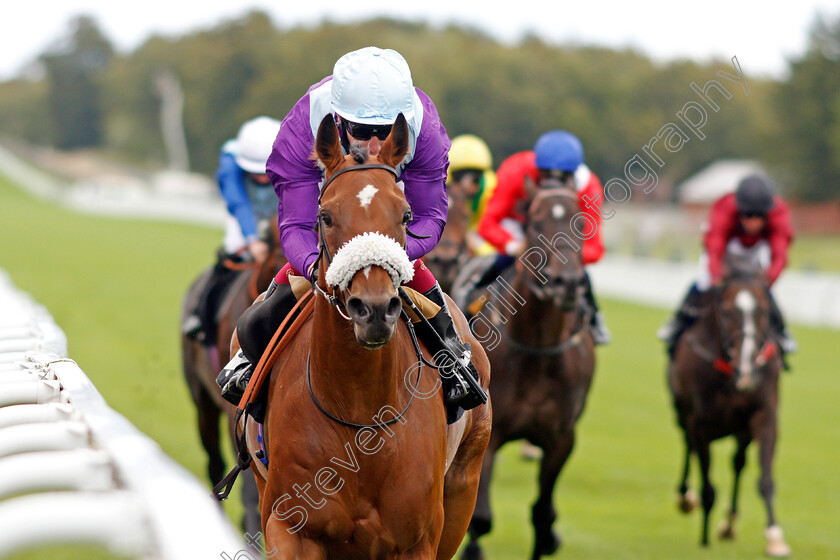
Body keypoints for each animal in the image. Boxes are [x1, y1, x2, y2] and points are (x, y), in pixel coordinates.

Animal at [460, 180, 596, 560]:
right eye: (535, 223)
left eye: (582, 223)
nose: (568, 283)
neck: (537, 348)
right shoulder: (490, 434)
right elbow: (481, 519)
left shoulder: (561, 438)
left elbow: (541, 514)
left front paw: (550, 537)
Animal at [668, 258, 792, 556]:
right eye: (725, 312)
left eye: (764, 312)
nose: (746, 364)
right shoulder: (700, 422)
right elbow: (707, 486)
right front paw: (703, 538)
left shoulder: (764, 415)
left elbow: (765, 479)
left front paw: (775, 537)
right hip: (681, 411)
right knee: (688, 446)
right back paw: (686, 498)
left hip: (741, 429)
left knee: (738, 463)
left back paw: (729, 524)